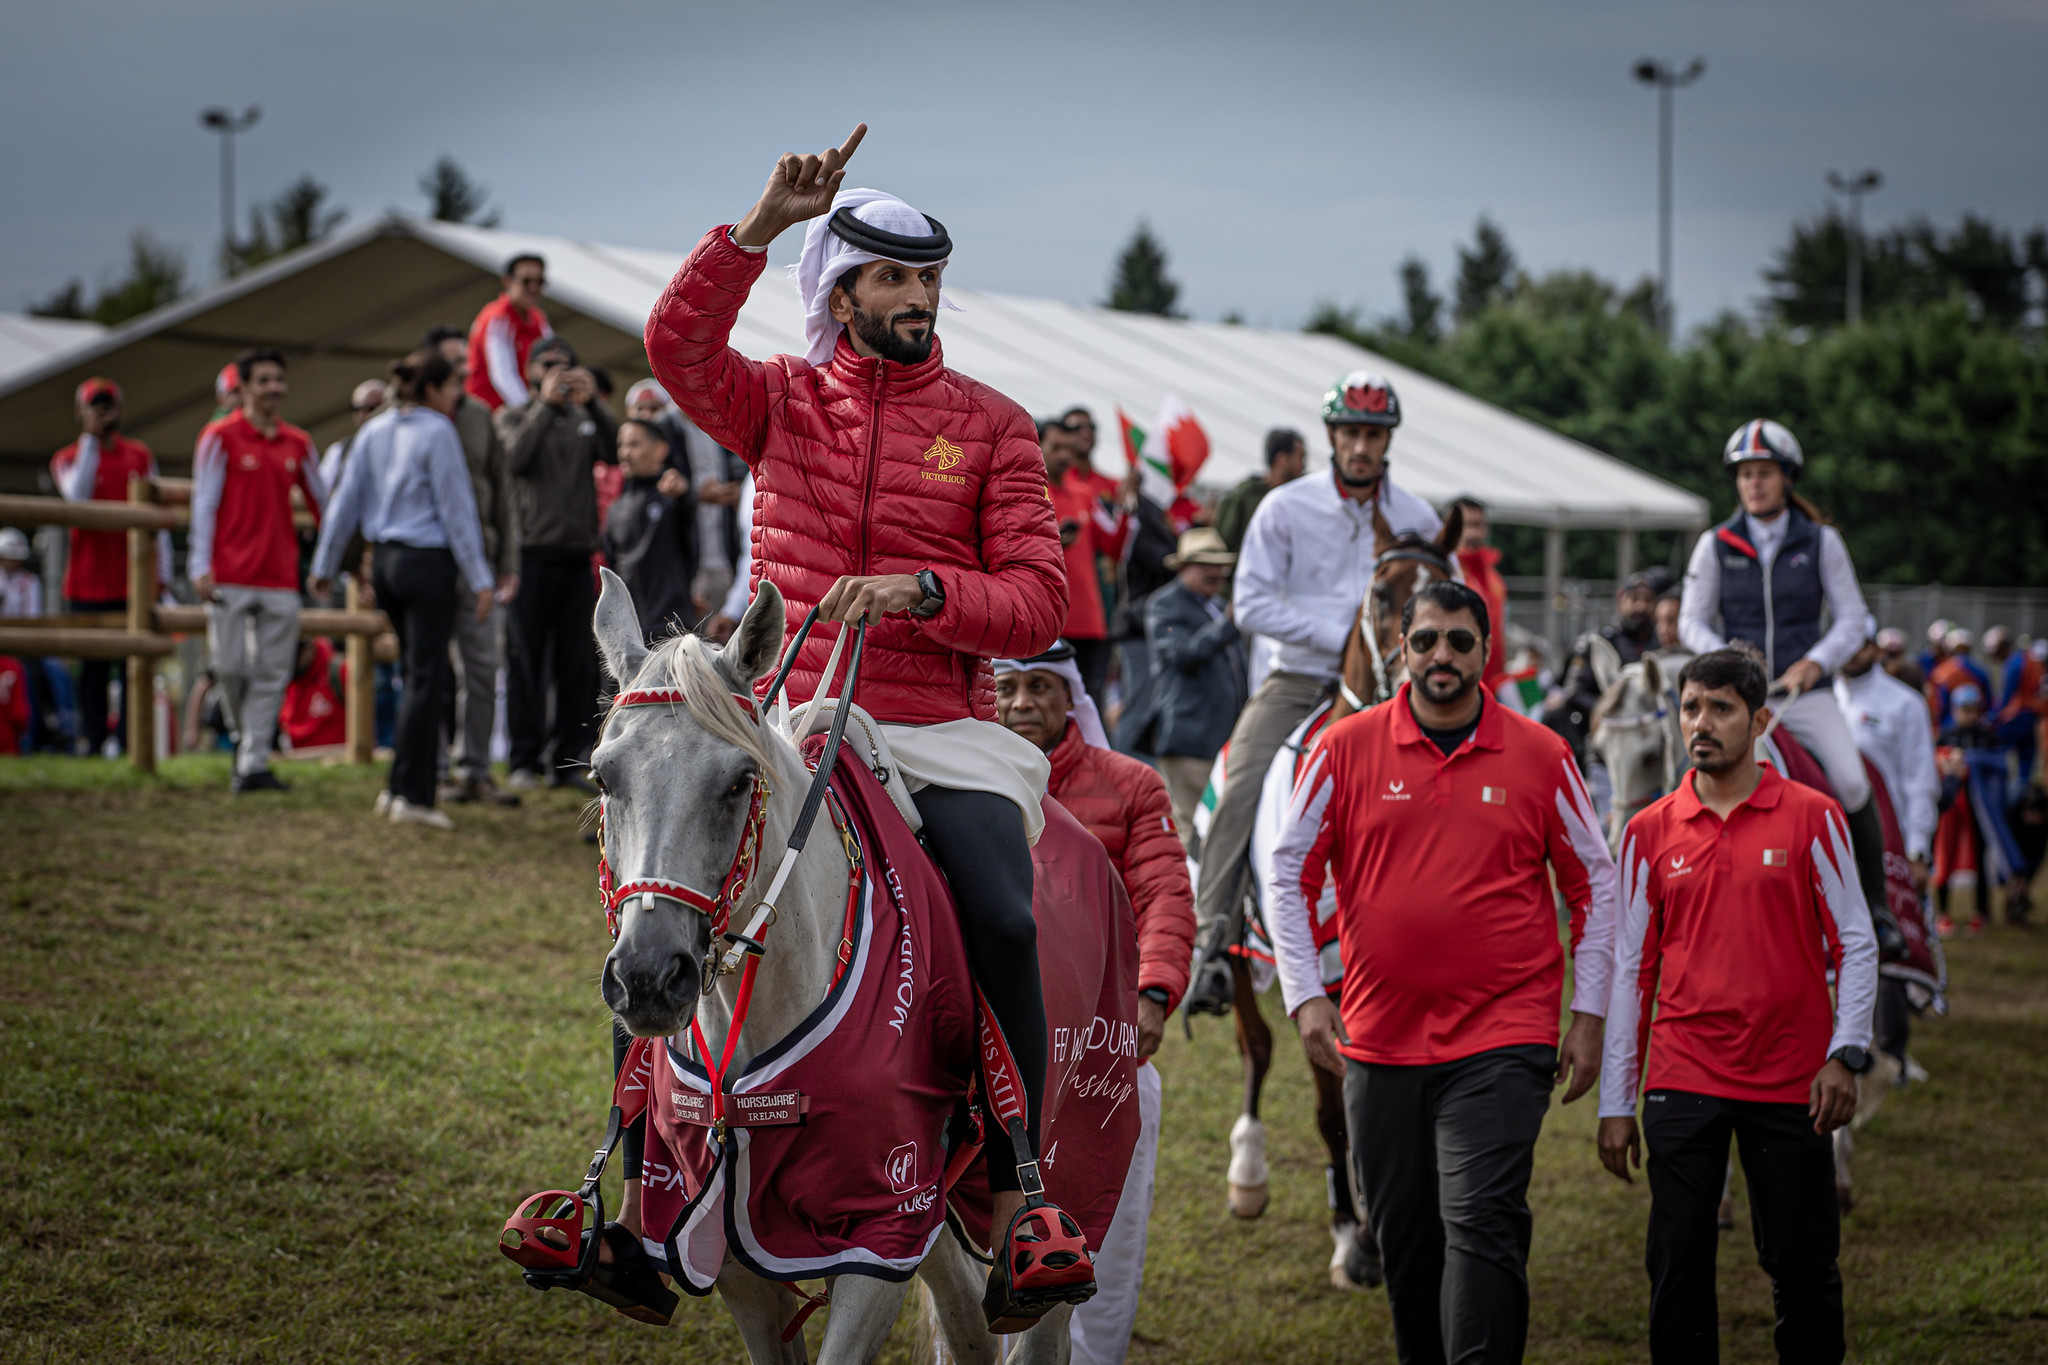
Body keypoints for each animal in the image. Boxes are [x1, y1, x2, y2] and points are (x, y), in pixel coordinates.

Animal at [1212, 505, 1458, 1293]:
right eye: (1382, 594)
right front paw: (1357, 1238)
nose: (1423, 678)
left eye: (1457, 592)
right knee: (1255, 1046)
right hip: (1242, 949)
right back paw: (1249, 1173)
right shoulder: (1315, 970)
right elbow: (1333, 1109)